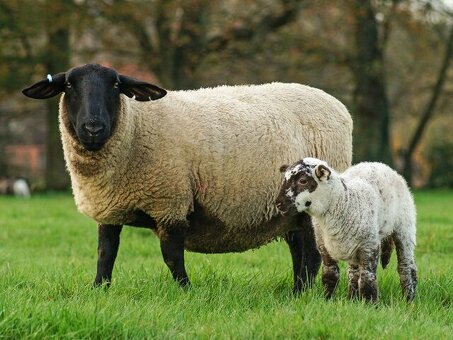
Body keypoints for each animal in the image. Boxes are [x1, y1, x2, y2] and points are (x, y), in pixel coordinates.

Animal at [22, 62, 354, 290]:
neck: (134, 128)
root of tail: (337, 106)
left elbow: (172, 255)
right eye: (69, 86)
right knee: (300, 252)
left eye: (115, 85)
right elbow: (106, 253)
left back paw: (302, 293)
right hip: (291, 212)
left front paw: (185, 290)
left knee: (312, 256)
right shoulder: (111, 208)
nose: (93, 127)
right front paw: (99, 290)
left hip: (313, 205)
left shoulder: (170, 201)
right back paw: (296, 292)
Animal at [274, 158, 414, 302]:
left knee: (406, 267)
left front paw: (370, 303)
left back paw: (409, 299)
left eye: (303, 180)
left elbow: (367, 278)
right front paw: (327, 299)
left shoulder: (369, 245)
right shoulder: (324, 246)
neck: (344, 200)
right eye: (284, 180)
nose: (278, 203)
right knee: (353, 273)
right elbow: (329, 275)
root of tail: (380, 164)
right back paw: (352, 299)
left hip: (405, 228)